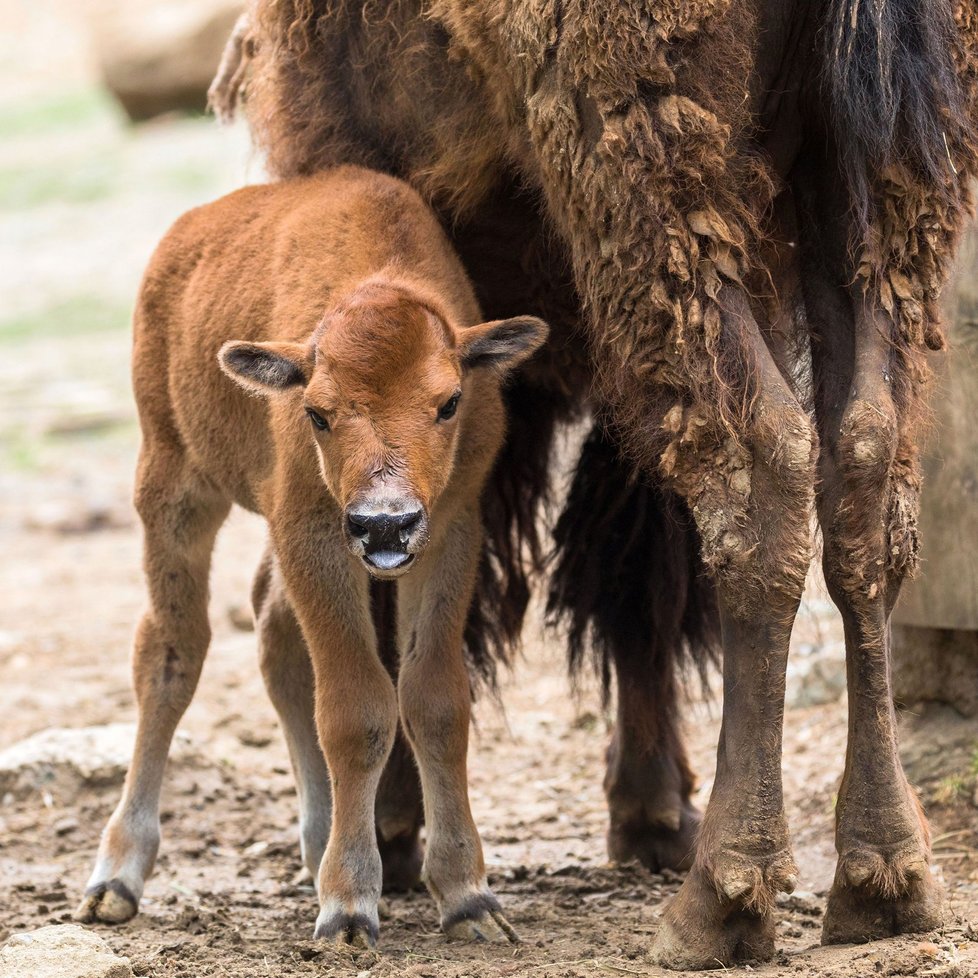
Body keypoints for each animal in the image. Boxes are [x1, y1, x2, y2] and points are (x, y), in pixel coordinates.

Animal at [74, 168, 548, 944]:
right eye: (318, 413)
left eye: (450, 402)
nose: (384, 526)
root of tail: (182, 240)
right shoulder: (312, 533)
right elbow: (356, 709)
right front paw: (350, 907)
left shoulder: (451, 531)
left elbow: (435, 700)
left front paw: (469, 898)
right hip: (173, 487)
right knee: (171, 652)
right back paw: (115, 879)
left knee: (274, 638)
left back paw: (317, 840)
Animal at [214, 0, 976, 960]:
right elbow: (638, 573)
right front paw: (650, 811)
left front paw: (394, 825)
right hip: (878, 205)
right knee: (865, 471)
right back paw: (886, 877)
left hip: (656, 200)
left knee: (765, 474)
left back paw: (721, 898)